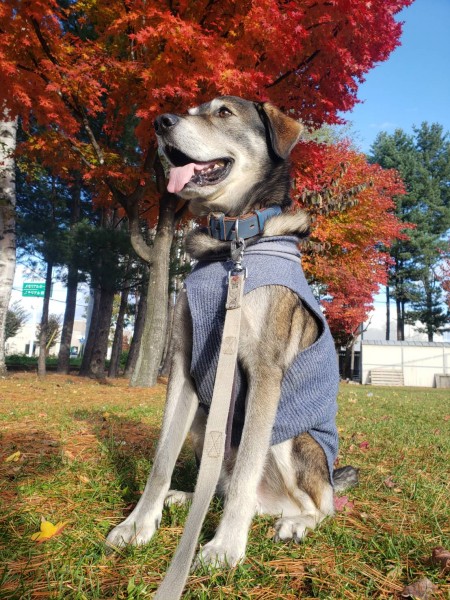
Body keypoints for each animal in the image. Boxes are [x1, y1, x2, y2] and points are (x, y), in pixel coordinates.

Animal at [107, 96, 356, 568]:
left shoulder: (264, 371)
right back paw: (187, 497)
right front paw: (138, 524)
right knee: (219, 483)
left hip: (293, 440)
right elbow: (162, 458)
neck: (232, 240)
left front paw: (225, 546)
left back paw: (296, 523)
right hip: (207, 418)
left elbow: (245, 472)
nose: (161, 122)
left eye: (223, 112)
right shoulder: (183, 364)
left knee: (322, 504)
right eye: (191, 109)